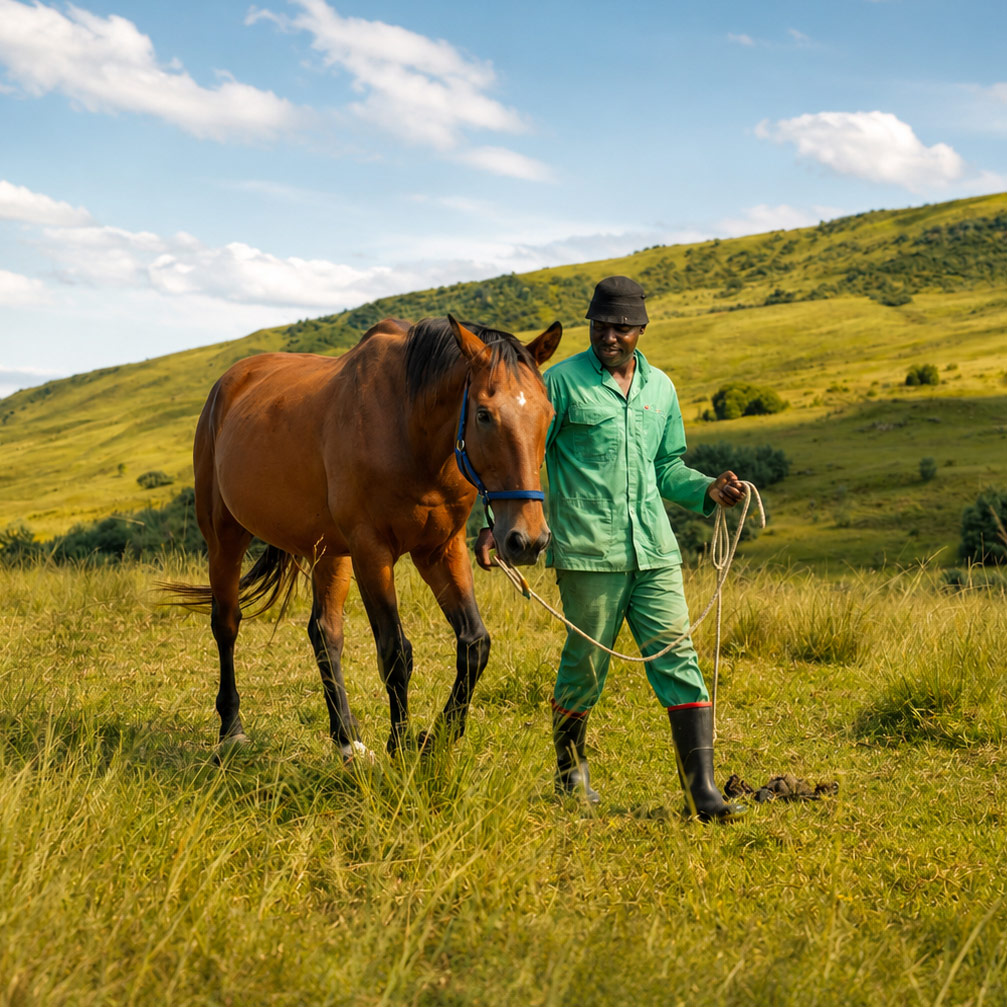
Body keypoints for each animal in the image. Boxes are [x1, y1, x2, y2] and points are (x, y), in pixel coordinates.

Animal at [171, 315, 562, 760]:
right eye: (483, 415)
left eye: (548, 413)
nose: (527, 540)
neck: (408, 427)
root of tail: (228, 384)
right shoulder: (372, 552)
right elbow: (395, 652)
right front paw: (401, 745)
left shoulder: (440, 550)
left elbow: (474, 643)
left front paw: (438, 737)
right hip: (225, 536)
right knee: (227, 623)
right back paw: (232, 729)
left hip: (328, 552)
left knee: (325, 634)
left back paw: (346, 739)